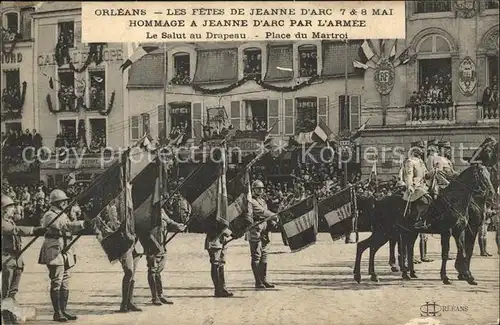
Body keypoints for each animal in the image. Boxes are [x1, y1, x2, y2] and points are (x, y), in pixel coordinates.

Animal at [356, 139, 496, 284]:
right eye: (481, 176)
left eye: (489, 175)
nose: (491, 193)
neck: (455, 200)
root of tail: (377, 201)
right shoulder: (448, 231)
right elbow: (446, 253)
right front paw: (446, 277)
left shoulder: (459, 231)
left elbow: (462, 251)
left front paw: (467, 276)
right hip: (385, 231)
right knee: (365, 246)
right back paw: (364, 275)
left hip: (399, 232)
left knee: (378, 247)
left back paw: (388, 274)